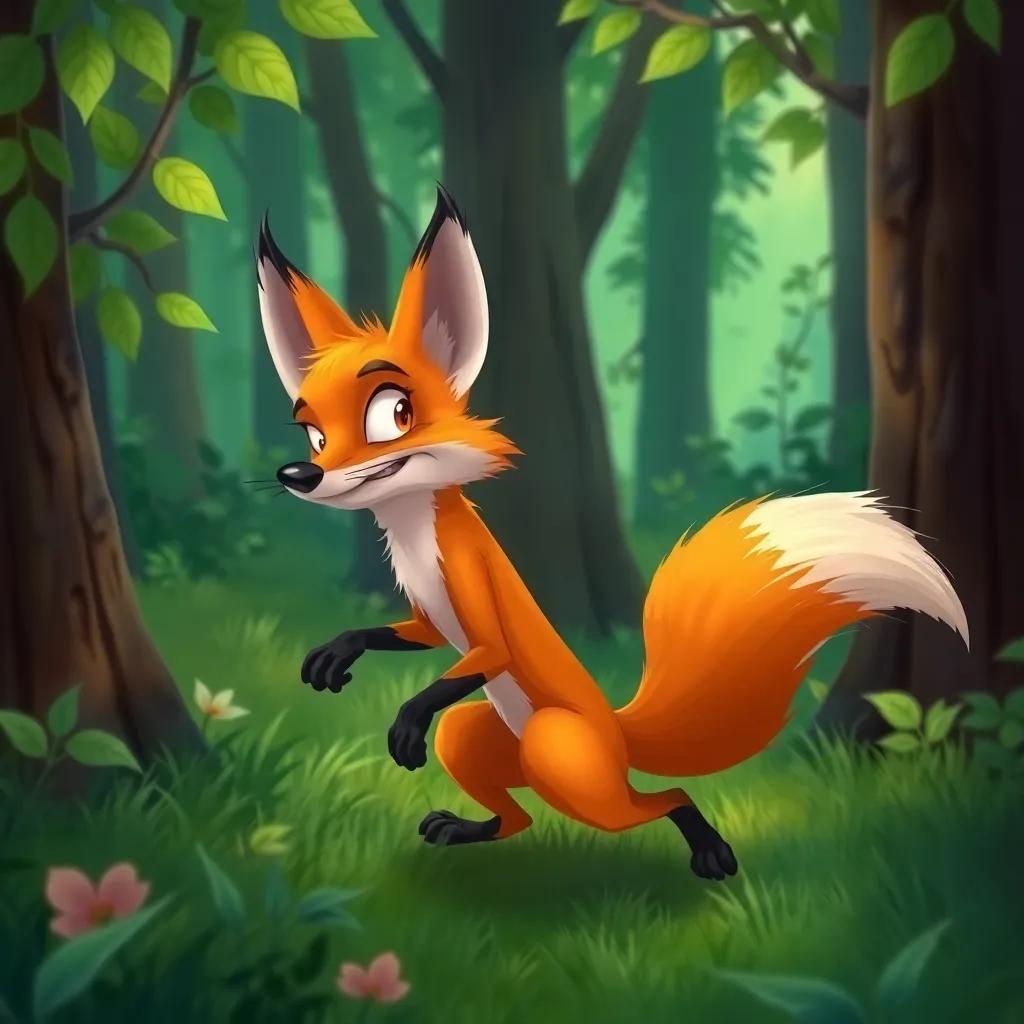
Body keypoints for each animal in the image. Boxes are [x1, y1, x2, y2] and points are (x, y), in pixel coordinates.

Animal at [256, 186, 969, 880]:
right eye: (312, 433)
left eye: (394, 413)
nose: (300, 474)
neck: (415, 534)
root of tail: (618, 729)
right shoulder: (430, 615)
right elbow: (411, 635)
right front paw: (339, 651)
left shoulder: (471, 588)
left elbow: (486, 650)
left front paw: (407, 719)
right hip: (477, 738)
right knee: (521, 817)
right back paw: (465, 829)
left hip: (557, 753)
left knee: (658, 799)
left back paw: (710, 851)